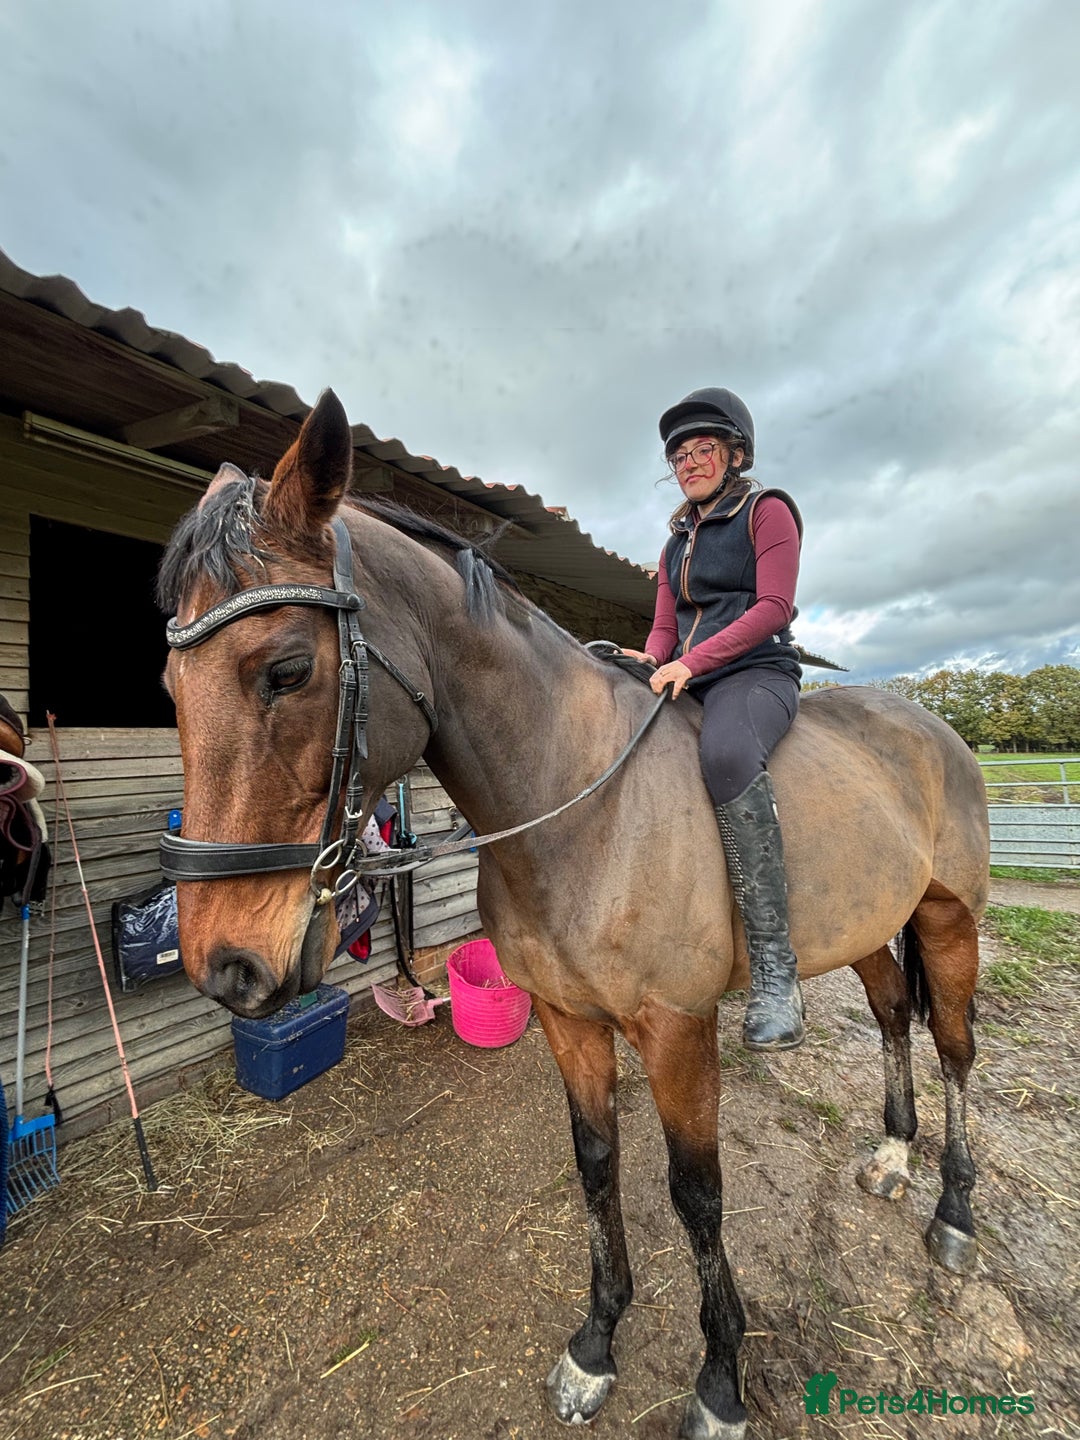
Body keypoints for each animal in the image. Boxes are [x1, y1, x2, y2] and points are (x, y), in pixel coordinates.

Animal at [157, 390, 988, 1440]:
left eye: (286, 671)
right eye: (170, 688)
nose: (224, 967)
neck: (579, 804)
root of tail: (931, 726)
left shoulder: (676, 1031)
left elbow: (697, 1195)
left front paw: (720, 1382)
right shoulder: (566, 1020)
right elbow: (596, 1164)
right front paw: (596, 1346)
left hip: (950, 920)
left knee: (954, 1045)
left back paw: (953, 1215)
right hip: (868, 926)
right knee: (890, 1015)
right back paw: (891, 1154)